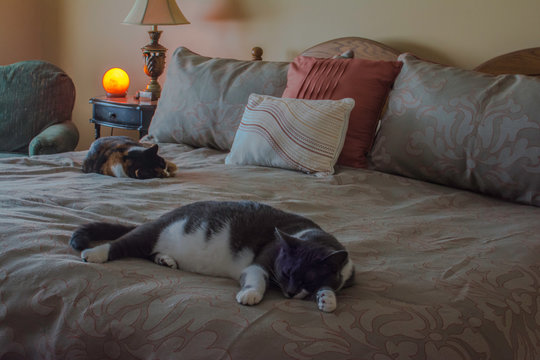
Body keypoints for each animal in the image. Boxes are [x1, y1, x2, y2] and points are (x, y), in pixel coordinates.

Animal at [69, 200, 356, 312]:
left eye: (307, 280)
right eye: (286, 273)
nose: (291, 292)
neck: (312, 235)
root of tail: (161, 216)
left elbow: (330, 286)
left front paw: (327, 299)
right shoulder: (261, 262)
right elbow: (257, 279)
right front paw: (250, 294)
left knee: (147, 253)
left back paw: (165, 260)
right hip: (153, 232)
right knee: (122, 243)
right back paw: (94, 253)